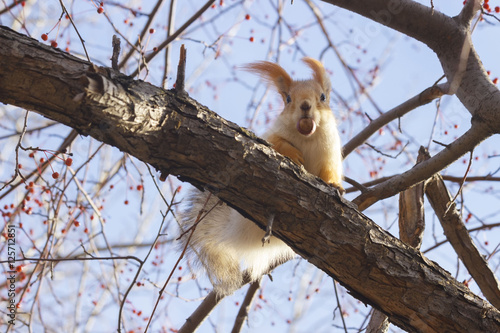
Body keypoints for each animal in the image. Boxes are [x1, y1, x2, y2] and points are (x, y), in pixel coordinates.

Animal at [180, 57, 344, 296]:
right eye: (288, 99)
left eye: (323, 97)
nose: (305, 105)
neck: (307, 137)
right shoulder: (273, 135)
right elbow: (278, 144)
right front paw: (294, 154)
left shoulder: (330, 151)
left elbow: (329, 172)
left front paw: (335, 186)